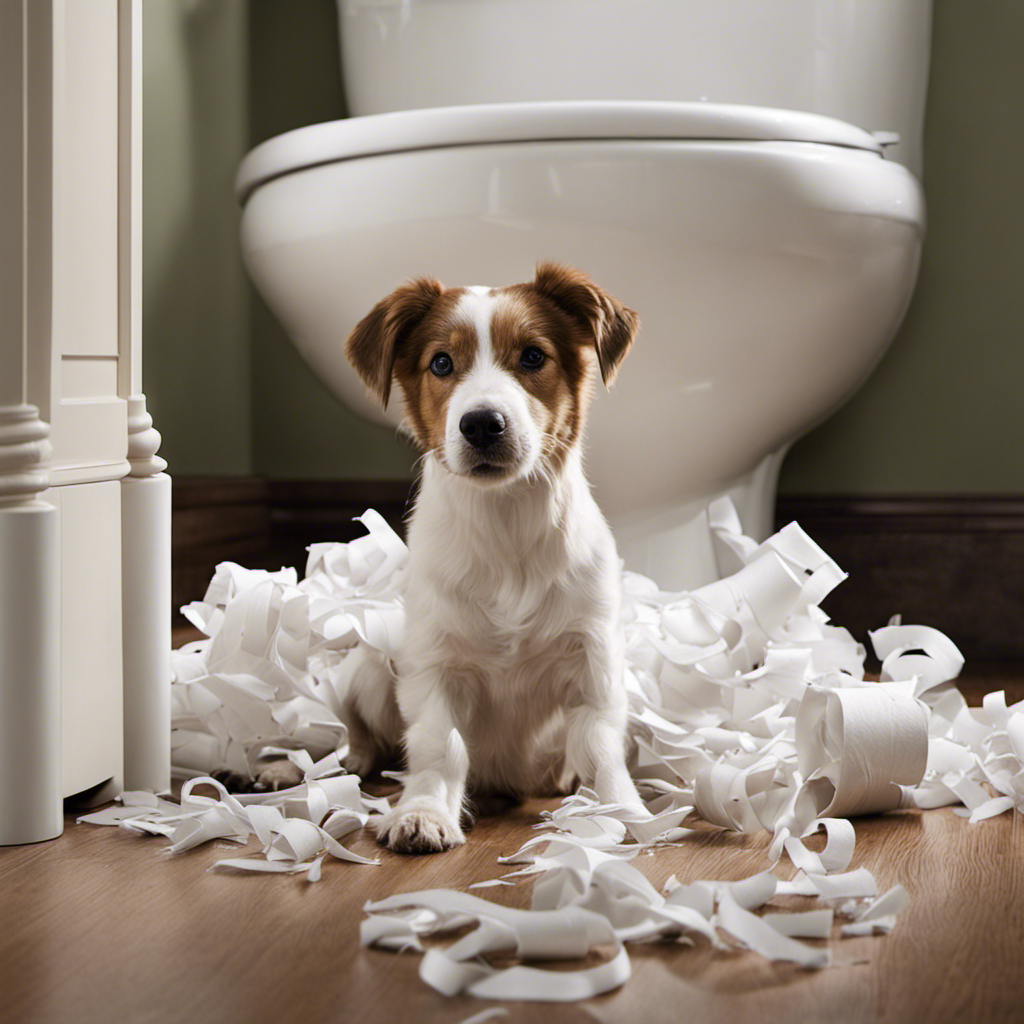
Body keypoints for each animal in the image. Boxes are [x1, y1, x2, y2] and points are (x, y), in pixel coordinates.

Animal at [344, 260, 647, 851]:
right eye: (441, 362)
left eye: (532, 356)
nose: (482, 423)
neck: (506, 528)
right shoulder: (434, 666)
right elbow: (439, 746)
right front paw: (424, 811)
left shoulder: (594, 663)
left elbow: (600, 748)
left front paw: (621, 811)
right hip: (369, 666)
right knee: (362, 742)